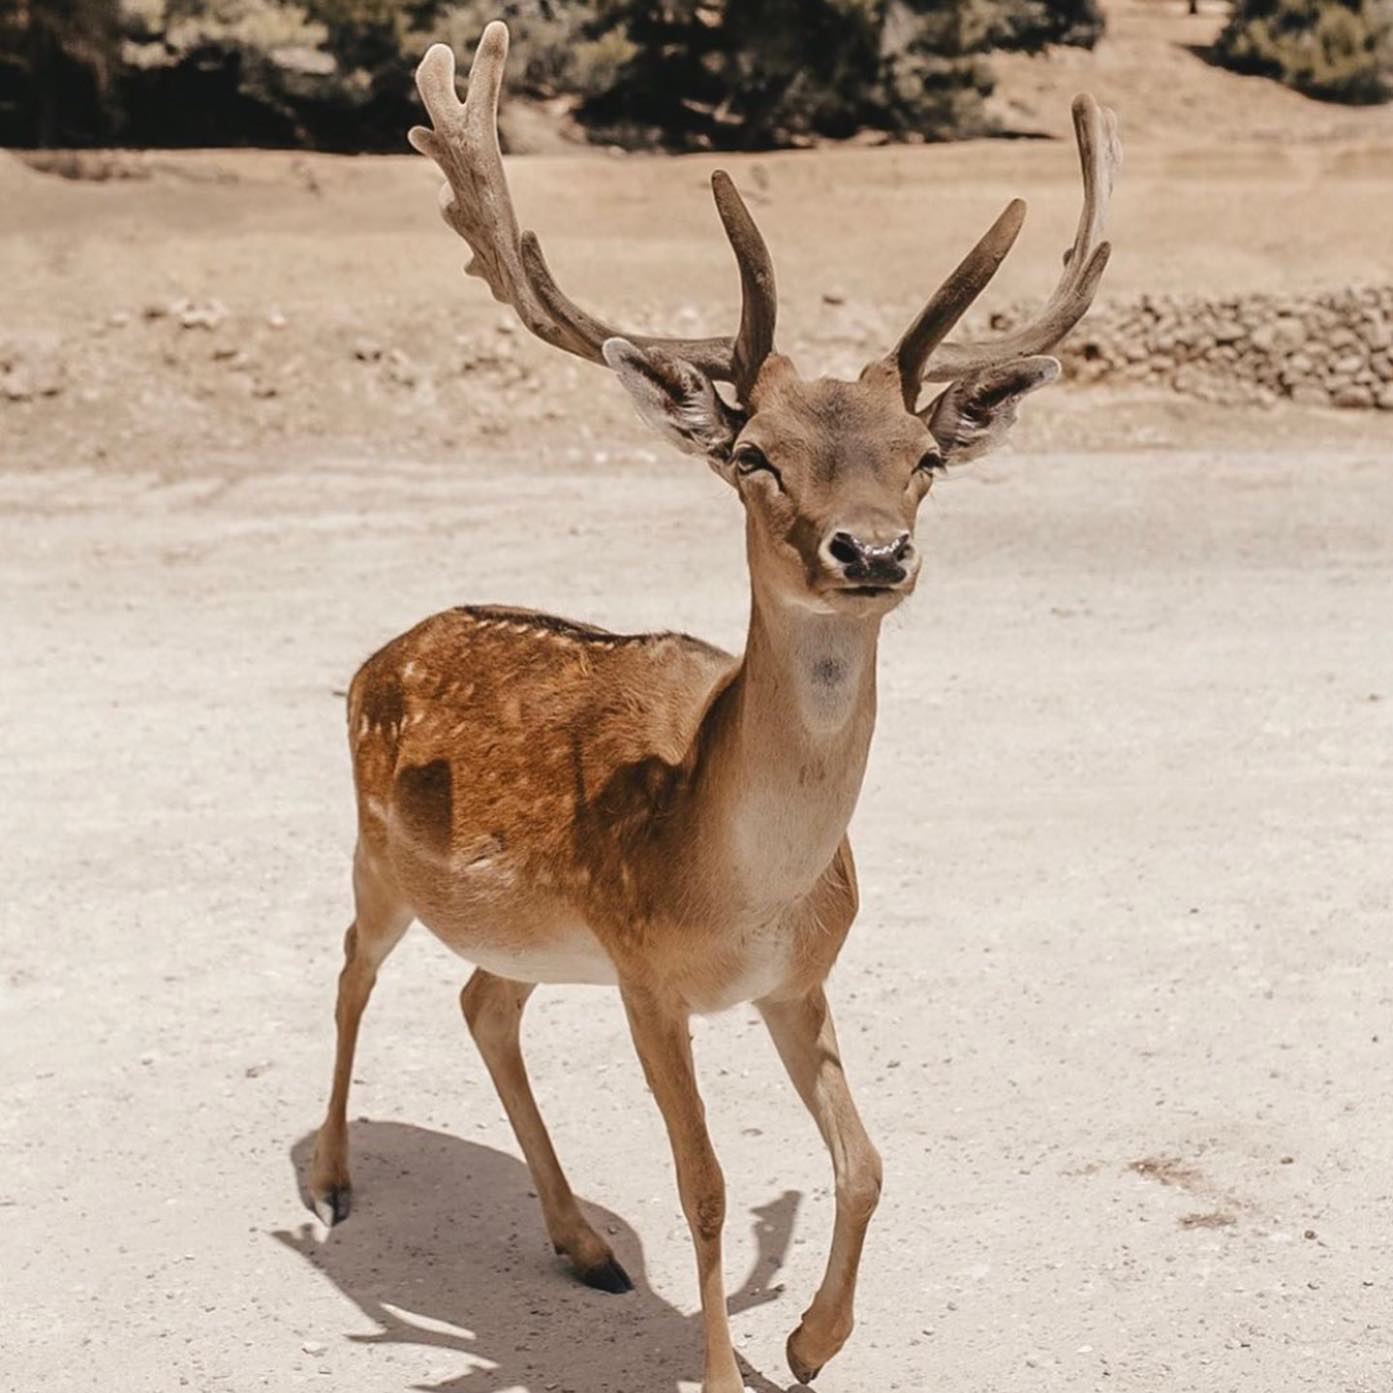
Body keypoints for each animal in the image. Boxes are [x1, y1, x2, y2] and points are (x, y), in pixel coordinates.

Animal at [307, 21, 1119, 1393]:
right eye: (754, 456)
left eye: (926, 457)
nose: (870, 550)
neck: (735, 889)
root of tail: (387, 645)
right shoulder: (647, 977)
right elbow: (702, 1186)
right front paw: (733, 1365)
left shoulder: (797, 979)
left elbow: (866, 1161)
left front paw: (812, 1338)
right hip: (375, 851)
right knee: (351, 973)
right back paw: (330, 1180)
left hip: (529, 931)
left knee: (482, 1001)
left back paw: (581, 1242)